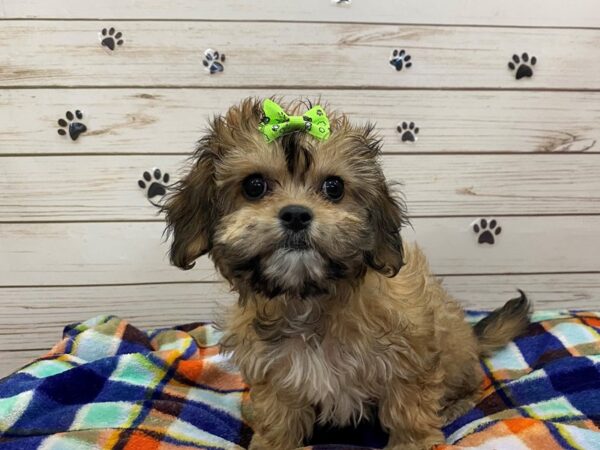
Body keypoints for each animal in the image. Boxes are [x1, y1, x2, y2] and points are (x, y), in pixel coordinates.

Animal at [163, 98, 528, 450]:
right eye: (254, 185)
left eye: (334, 187)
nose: (296, 214)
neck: (310, 300)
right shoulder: (274, 373)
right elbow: (278, 416)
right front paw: (271, 443)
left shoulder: (410, 357)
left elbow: (409, 407)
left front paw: (414, 442)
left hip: (455, 352)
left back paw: (455, 405)